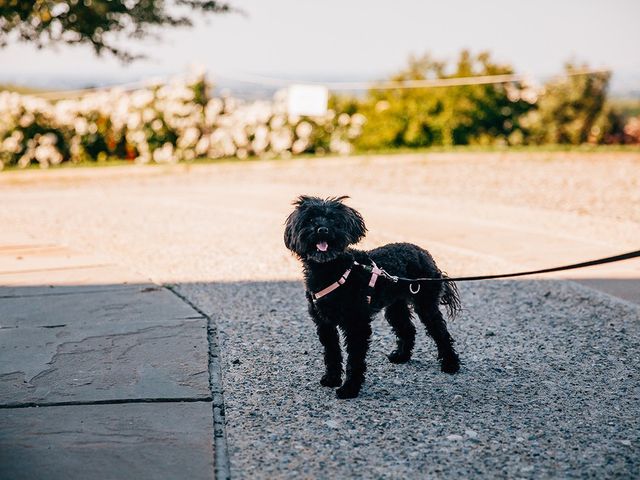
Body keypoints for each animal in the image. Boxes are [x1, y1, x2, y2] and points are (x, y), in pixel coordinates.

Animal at [284, 195, 460, 398]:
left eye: (333, 220)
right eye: (310, 219)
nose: (322, 229)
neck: (330, 270)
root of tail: (425, 254)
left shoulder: (356, 323)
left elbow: (354, 358)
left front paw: (349, 388)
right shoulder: (324, 323)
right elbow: (332, 352)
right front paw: (332, 379)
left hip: (425, 304)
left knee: (440, 331)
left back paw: (451, 364)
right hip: (395, 306)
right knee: (407, 329)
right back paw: (401, 356)